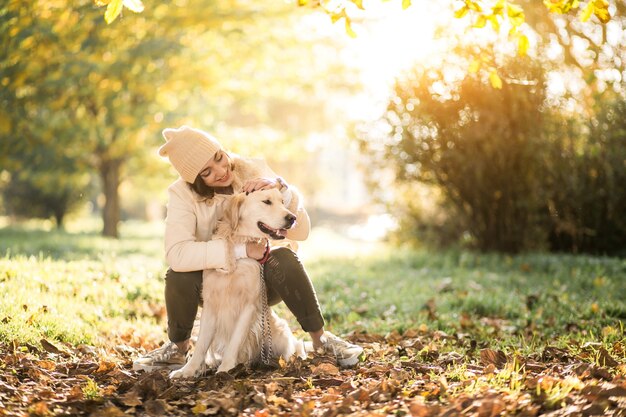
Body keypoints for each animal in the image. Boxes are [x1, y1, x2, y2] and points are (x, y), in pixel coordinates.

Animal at [168, 190, 304, 378]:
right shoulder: (211, 304)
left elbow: (235, 340)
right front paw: (188, 370)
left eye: (283, 202)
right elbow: (201, 344)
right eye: (266, 202)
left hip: (280, 334)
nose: (292, 218)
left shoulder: (248, 305)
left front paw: (225, 369)